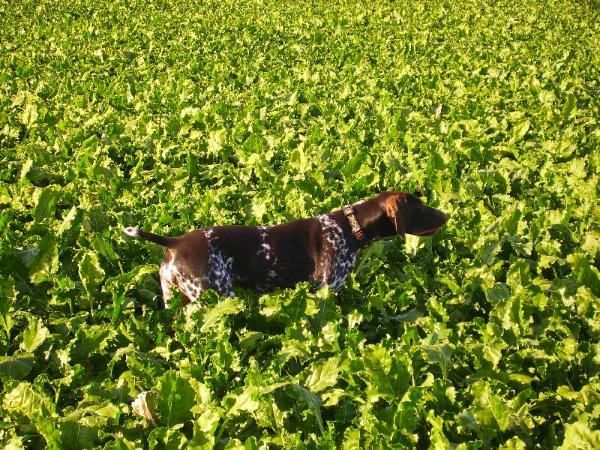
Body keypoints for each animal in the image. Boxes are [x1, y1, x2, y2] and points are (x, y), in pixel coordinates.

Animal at [124, 192, 448, 308]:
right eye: (419, 207)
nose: (446, 215)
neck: (348, 227)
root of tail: (174, 242)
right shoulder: (325, 288)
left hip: (175, 300)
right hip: (215, 296)